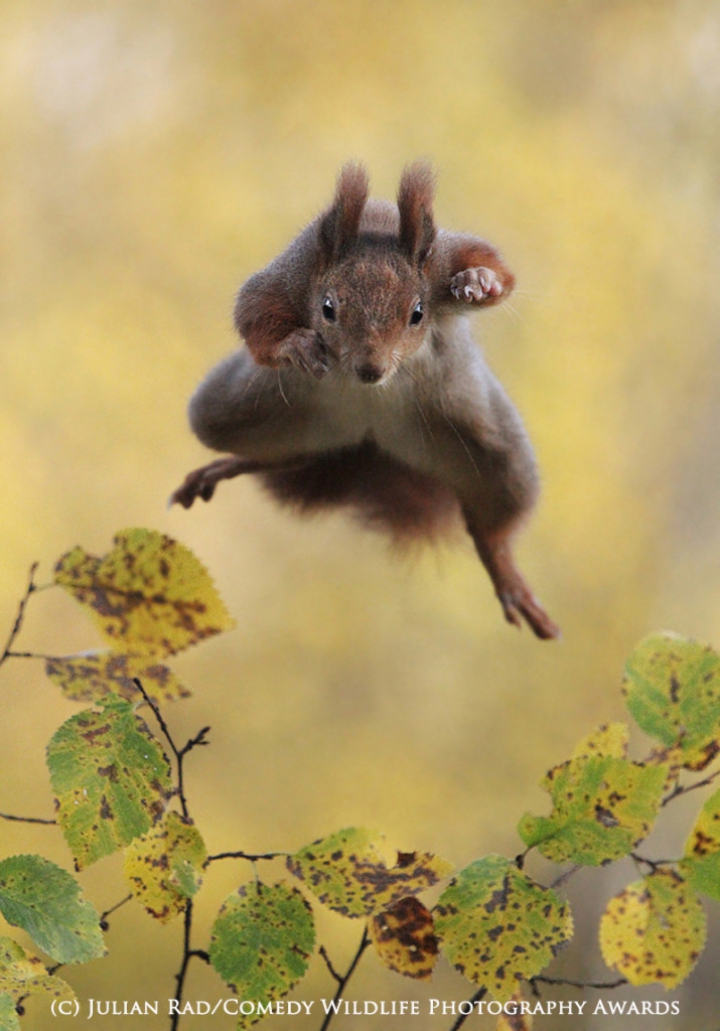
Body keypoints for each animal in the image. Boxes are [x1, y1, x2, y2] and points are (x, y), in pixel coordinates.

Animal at [171, 161, 557, 639]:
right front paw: (295, 346)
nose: (370, 370)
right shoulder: (292, 274)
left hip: (493, 451)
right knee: (285, 456)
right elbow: (253, 312)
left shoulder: (443, 258)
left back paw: (505, 573)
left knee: (493, 526)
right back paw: (228, 466)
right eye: (327, 308)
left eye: (418, 314)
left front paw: (478, 281)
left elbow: (493, 265)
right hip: (236, 413)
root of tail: (369, 440)